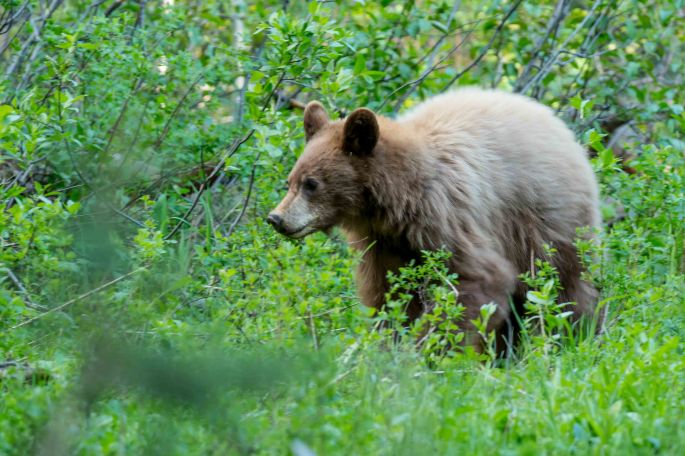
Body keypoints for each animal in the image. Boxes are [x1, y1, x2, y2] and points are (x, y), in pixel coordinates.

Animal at [268, 88, 602, 351]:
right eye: (290, 181)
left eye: (311, 183)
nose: (276, 218)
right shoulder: (382, 244)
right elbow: (388, 295)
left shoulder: (446, 217)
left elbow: (475, 282)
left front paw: (434, 351)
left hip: (548, 221)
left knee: (565, 286)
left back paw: (576, 336)